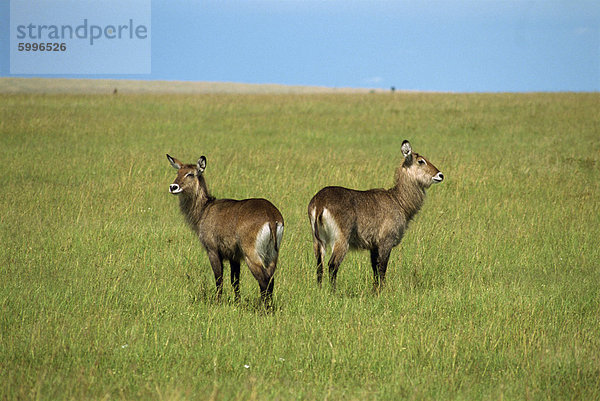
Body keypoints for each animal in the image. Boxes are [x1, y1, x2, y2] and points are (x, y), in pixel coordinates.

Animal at [166, 155, 284, 302]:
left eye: (190, 174)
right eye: (178, 172)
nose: (173, 187)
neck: (204, 209)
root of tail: (271, 215)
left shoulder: (212, 251)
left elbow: (219, 279)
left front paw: (217, 301)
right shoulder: (234, 256)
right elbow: (235, 281)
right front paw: (237, 302)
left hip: (251, 254)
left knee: (263, 281)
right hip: (272, 255)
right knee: (271, 281)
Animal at [308, 141, 442, 290]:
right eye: (421, 161)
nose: (440, 175)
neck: (398, 201)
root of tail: (320, 201)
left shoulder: (373, 246)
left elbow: (375, 269)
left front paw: (374, 290)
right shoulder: (386, 241)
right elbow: (382, 268)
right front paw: (380, 291)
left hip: (318, 240)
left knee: (319, 266)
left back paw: (319, 290)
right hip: (341, 239)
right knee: (332, 265)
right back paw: (333, 292)